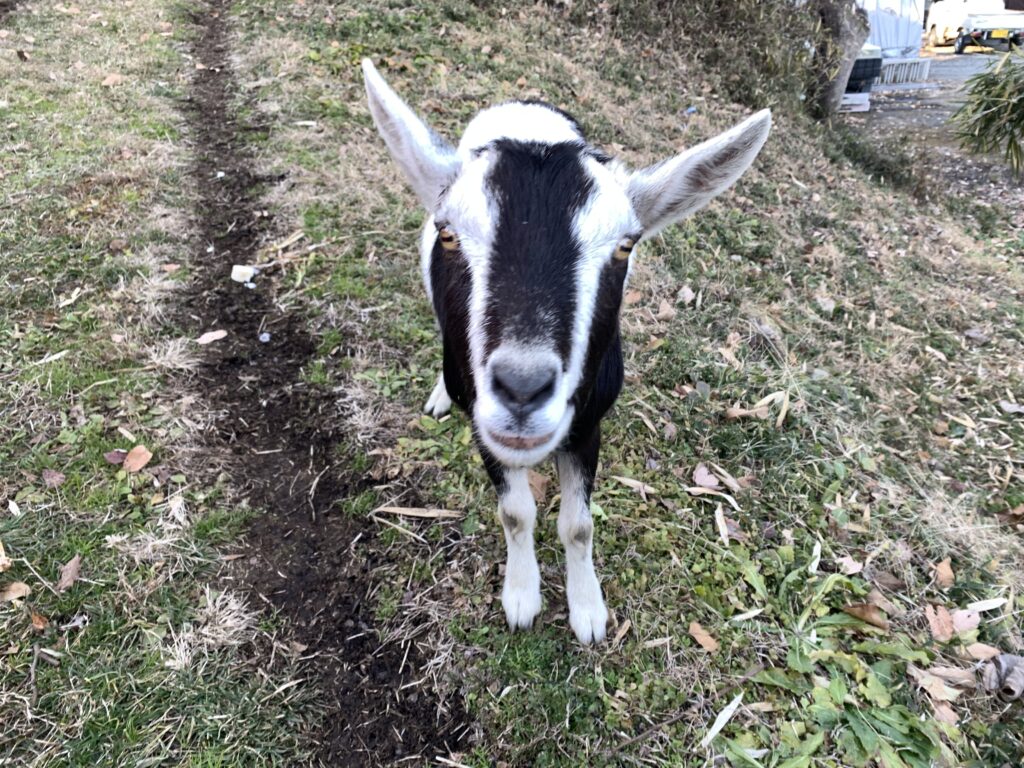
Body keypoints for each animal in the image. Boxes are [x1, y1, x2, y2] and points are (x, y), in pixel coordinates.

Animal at [360, 60, 770, 643]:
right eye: (448, 234)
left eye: (626, 246)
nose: (522, 389)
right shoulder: (486, 430)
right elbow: (516, 513)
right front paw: (522, 597)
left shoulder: (588, 421)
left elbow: (578, 525)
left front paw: (588, 611)